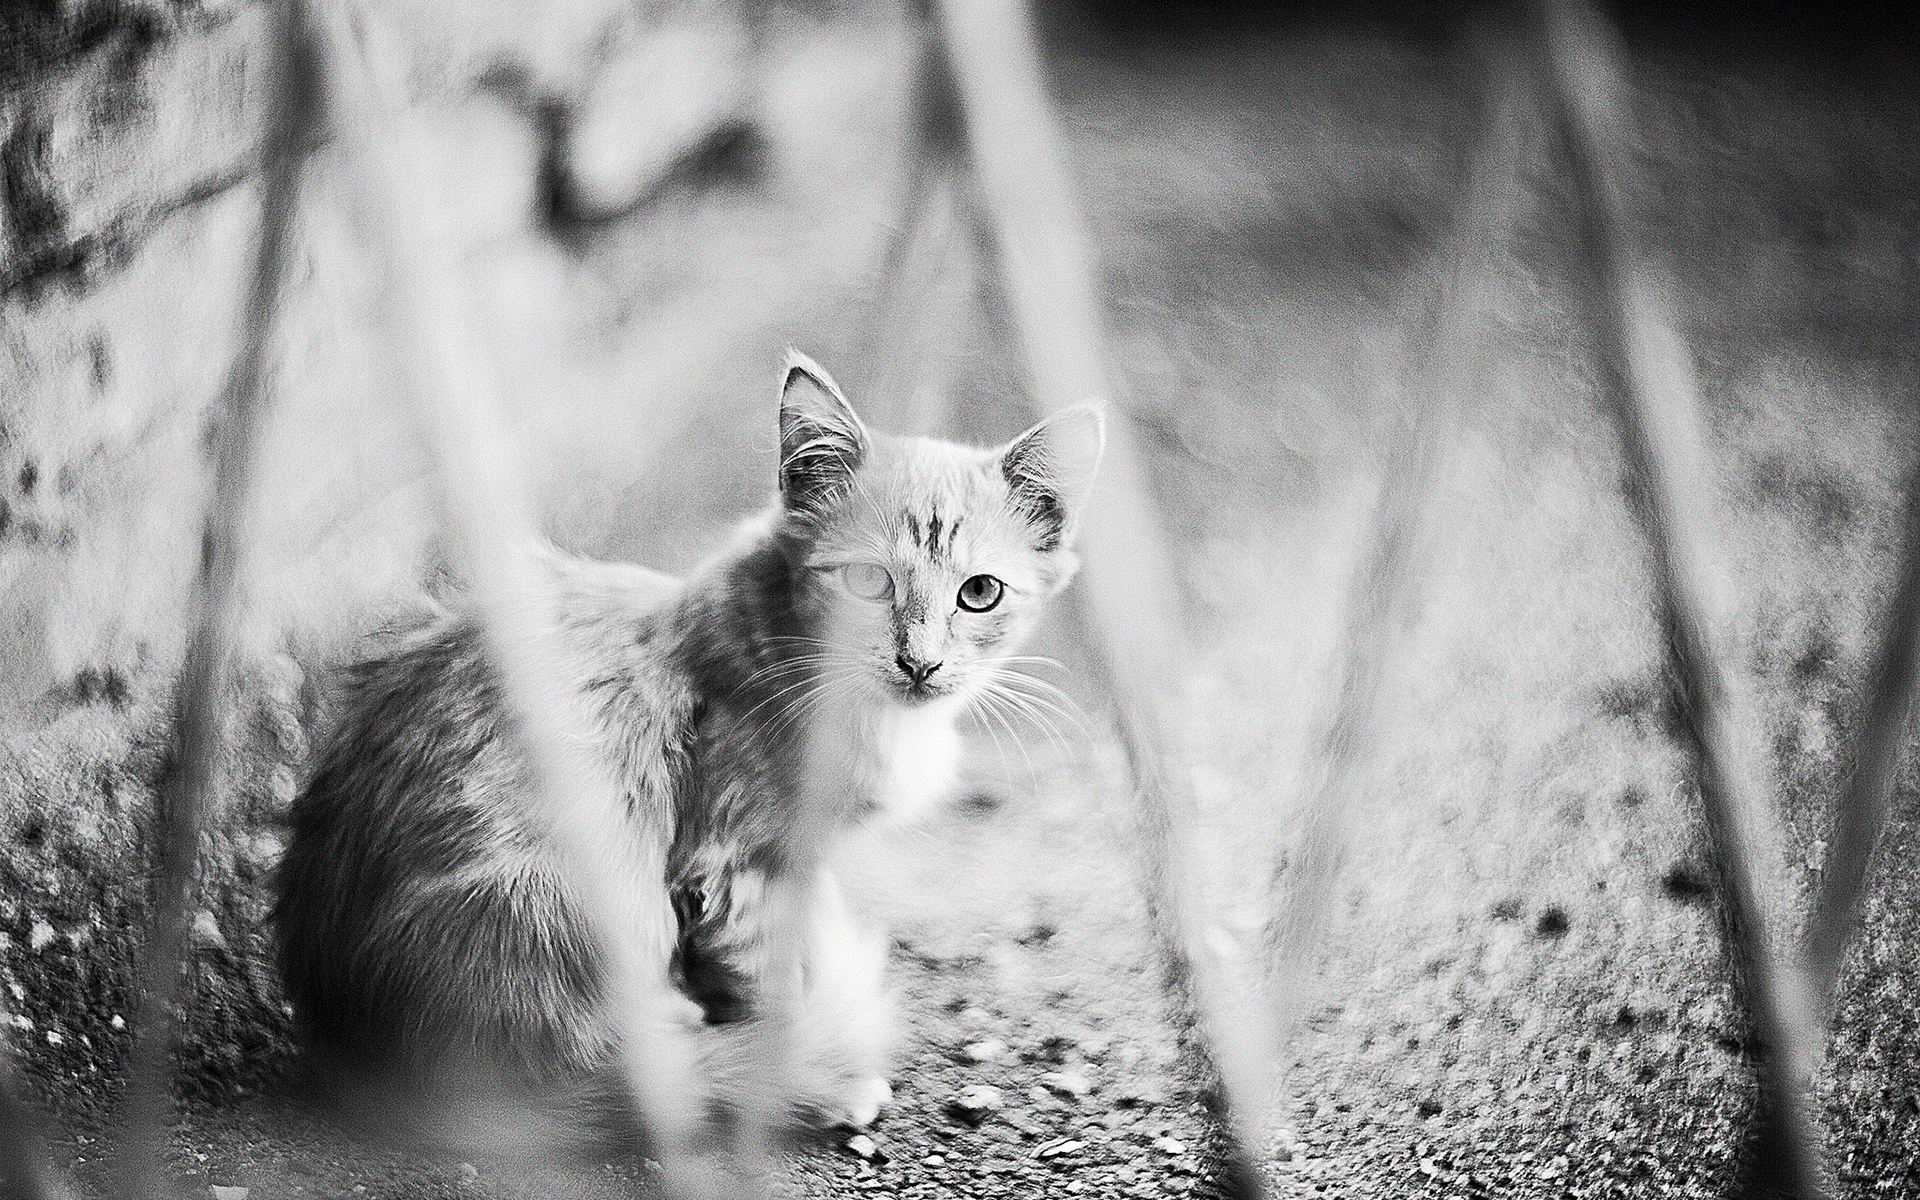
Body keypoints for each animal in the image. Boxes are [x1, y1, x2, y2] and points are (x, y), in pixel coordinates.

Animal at [276, 353, 1105, 1152]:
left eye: (980, 593)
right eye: (869, 582)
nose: (920, 664)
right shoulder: (733, 869)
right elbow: (773, 985)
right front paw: (803, 1071)